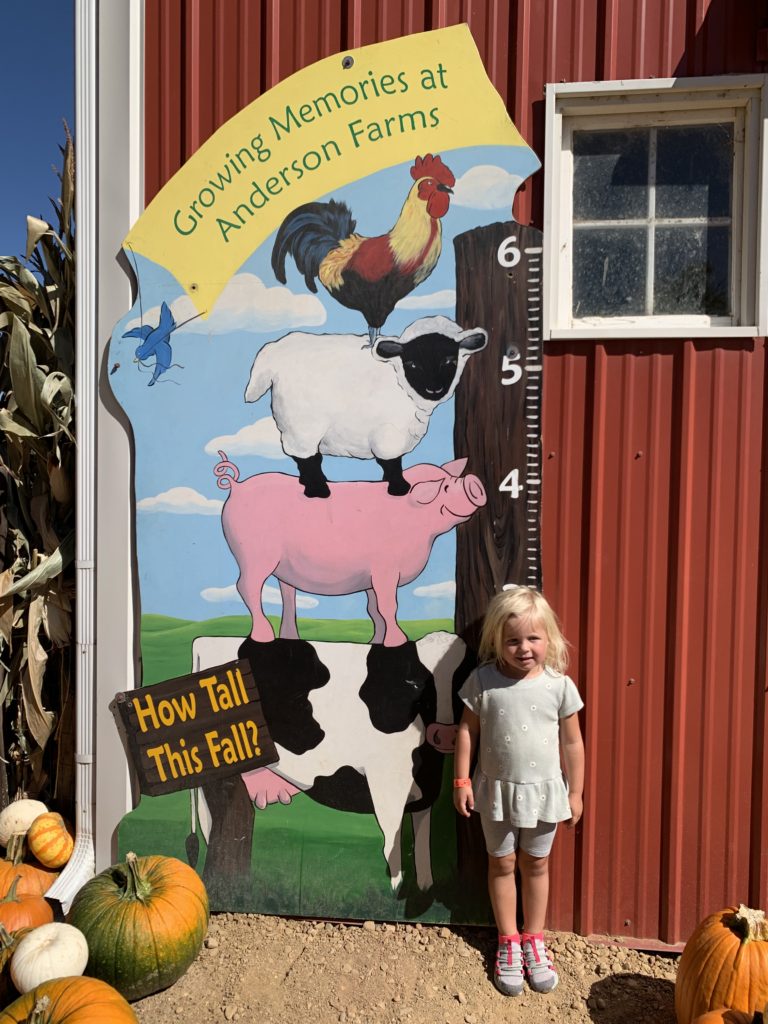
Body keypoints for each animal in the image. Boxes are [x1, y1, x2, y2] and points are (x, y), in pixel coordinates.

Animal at [214, 452, 487, 643]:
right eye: (446, 487)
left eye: (453, 479)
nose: (474, 481)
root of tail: (237, 486)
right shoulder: (385, 569)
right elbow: (389, 606)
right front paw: (398, 641)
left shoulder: (371, 577)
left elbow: (373, 609)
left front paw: (376, 642)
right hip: (254, 555)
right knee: (246, 586)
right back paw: (264, 636)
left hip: (280, 567)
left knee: (287, 596)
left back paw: (290, 638)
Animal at [244, 317, 487, 497]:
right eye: (412, 364)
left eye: (450, 361)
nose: (434, 389)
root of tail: (275, 350)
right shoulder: (388, 431)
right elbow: (392, 462)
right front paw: (399, 488)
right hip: (303, 423)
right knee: (307, 457)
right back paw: (318, 490)